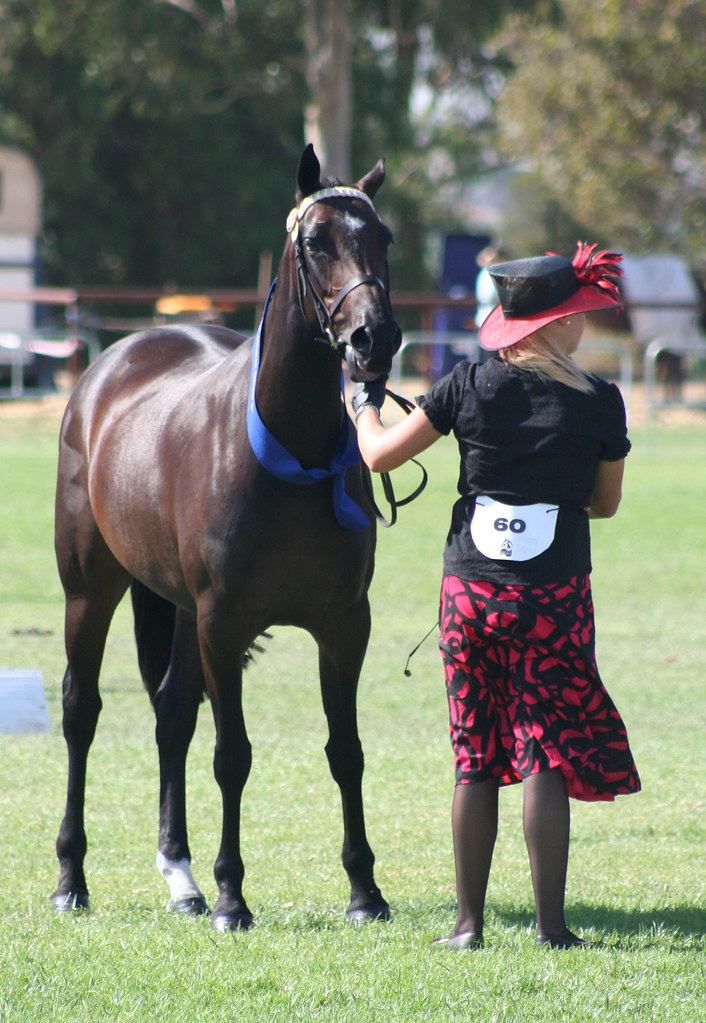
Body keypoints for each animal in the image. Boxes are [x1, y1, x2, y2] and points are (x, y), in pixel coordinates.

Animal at [51, 144, 401, 931]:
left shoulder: (345, 624)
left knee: (172, 713)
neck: (288, 452)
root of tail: (109, 365)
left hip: (178, 609)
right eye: (316, 242)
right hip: (91, 591)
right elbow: (232, 756)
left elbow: (348, 751)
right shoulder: (223, 621)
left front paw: (365, 891)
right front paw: (233, 897)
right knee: (82, 713)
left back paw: (180, 879)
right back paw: (71, 878)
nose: (375, 338)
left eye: (384, 239)